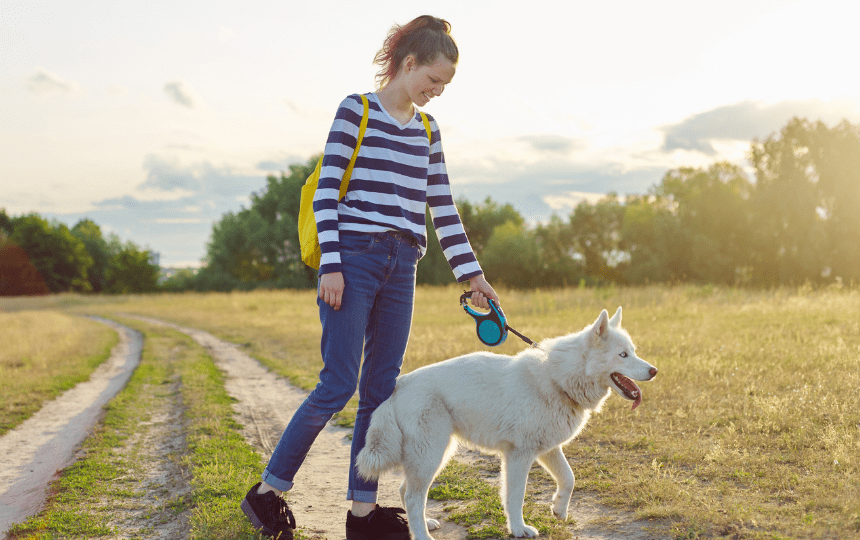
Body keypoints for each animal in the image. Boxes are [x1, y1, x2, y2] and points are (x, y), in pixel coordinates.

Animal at [356, 306, 660, 536]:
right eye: (623, 355)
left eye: (633, 351)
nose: (654, 371)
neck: (558, 379)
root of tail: (399, 386)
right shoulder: (519, 455)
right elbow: (515, 497)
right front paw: (519, 529)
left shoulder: (548, 450)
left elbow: (569, 478)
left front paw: (559, 509)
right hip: (431, 454)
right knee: (412, 496)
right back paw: (421, 535)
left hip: (436, 455)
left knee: (406, 491)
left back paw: (424, 524)